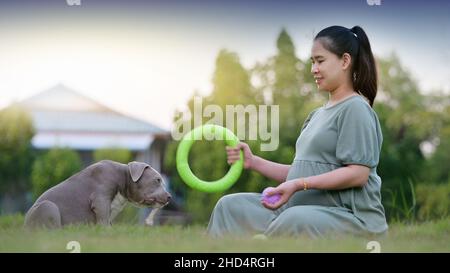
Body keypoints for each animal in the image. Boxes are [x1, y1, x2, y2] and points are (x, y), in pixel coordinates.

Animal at [25, 159, 172, 227]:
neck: (123, 177)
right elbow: (103, 220)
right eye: (158, 180)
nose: (169, 196)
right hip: (47, 206)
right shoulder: (100, 199)